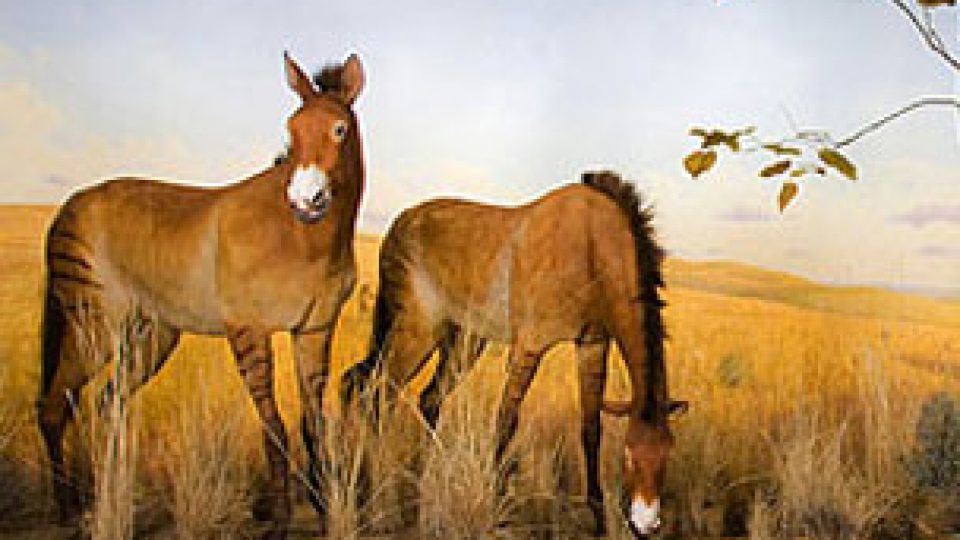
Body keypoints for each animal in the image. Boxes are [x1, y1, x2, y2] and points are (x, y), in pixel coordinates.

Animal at [36, 51, 366, 539]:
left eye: (339, 129)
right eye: (291, 131)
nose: (305, 201)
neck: (303, 239)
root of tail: (69, 204)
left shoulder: (315, 328)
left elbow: (313, 424)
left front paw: (328, 512)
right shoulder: (248, 330)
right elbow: (274, 427)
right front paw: (280, 521)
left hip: (150, 334)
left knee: (108, 403)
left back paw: (112, 498)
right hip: (92, 327)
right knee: (55, 406)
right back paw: (70, 511)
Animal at [344, 170, 688, 537]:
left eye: (668, 453)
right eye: (627, 456)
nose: (646, 524)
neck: (590, 247)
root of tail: (401, 221)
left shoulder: (593, 346)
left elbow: (590, 429)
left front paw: (599, 519)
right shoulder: (528, 347)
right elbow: (506, 423)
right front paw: (496, 504)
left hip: (463, 341)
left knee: (421, 396)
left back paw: (421, 480)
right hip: (418, 331)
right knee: (376, 392)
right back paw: (374, 489)